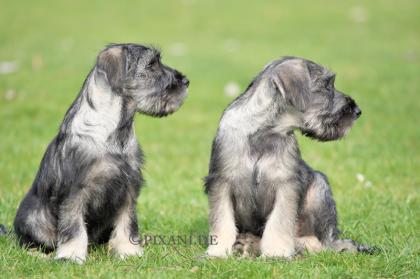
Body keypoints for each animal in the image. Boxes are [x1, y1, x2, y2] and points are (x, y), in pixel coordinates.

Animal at [13, 42, 189, 264]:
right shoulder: (75, 193)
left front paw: (128, 251)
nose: (186, 81)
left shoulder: (128, 188)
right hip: (31, 218)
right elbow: (74, 227)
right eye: (151, 64)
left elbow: (127, 223)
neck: (115, 132)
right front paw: (71, 256)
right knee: (30, 241)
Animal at [205, 56, 372, 258]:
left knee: (320, 243)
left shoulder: (286, 185)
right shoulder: (221, 183)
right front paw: (217, 252)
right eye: (326, 85)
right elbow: (222, 221)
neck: (263, 132)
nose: (358, 111)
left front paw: (276, 253)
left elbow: (279, 223)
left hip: (319, 186)